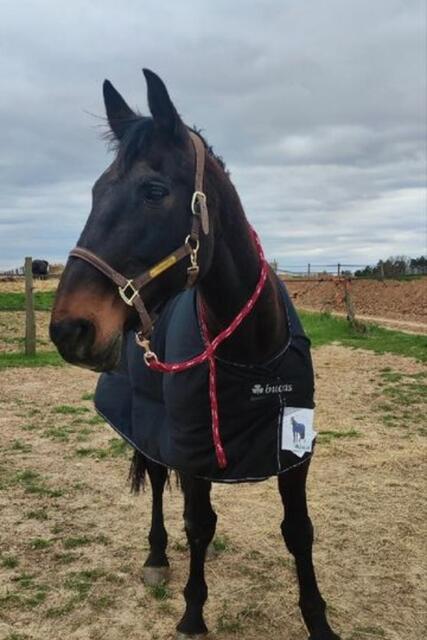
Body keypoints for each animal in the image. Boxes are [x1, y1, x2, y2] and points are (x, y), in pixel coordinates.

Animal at [50, 69, 340, 640]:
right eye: (95, 191)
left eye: (154, 191)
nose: (69, 328)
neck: (253, 353)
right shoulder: (194, 450)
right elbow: (200, 524)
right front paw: (192, 613)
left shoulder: (294, 453)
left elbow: (299, 530)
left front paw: (318, 620)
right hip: (153, 428)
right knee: (162, 486)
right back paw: (158, 556)